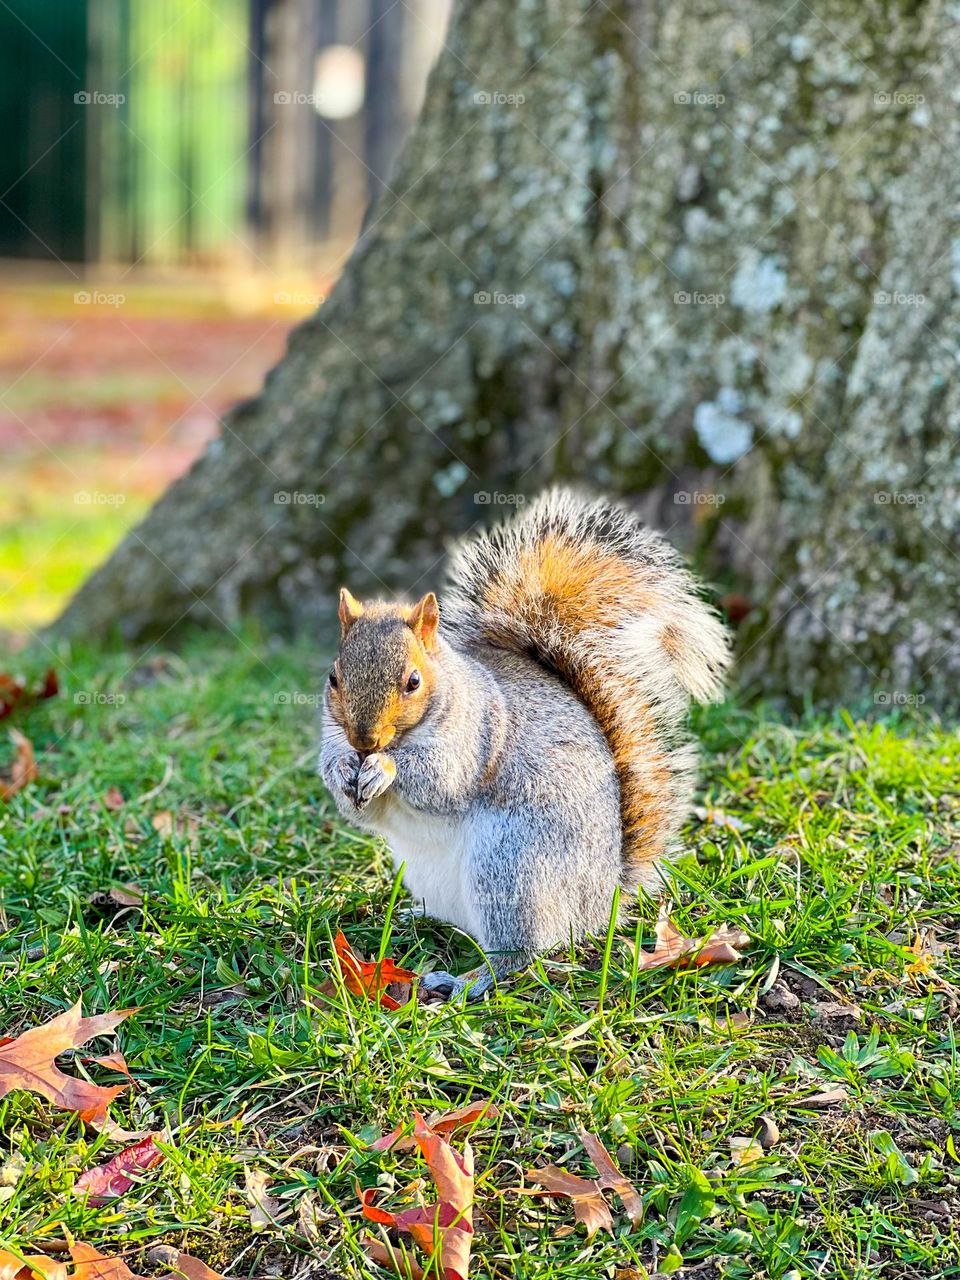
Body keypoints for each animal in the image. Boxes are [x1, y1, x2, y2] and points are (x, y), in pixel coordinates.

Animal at [319, 489, 732, 1000]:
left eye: (414, 681)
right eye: (333, 678)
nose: (364, 739)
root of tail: (602, 900)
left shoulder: (474, 738)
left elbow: (440, 782)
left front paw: (385, 768)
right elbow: (355, 805)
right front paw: (343, 769)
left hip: (511, 868)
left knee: (520, 951)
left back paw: (467, 979)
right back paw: (416, 915)